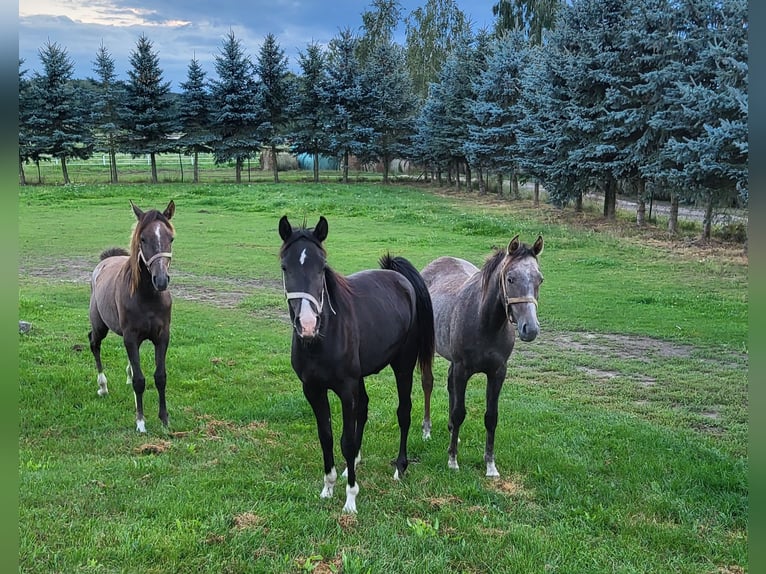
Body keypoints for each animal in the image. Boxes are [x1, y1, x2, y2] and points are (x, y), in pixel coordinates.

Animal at [88, 200, 176, 434]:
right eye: (142, 238)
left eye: (171, 238)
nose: (161, 280)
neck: (148, 297)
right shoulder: (131, 336)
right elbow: (140, 380)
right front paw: (141, 422)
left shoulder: (162, 336)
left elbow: (160, 377)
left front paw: (164, 420)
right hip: (100, 326)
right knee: (94, 343)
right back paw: (103, 387)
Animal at [280, 215, 436, 512]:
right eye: (285, 267)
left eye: (322, 267)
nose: (307, 324)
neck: (322, 339)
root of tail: (400, 278)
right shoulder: (313, 389)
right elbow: (327, 437)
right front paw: (328, 487)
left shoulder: (345, 389)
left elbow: (347, 441)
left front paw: (350, 499)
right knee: (363, 408)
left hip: (403, 366)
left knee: (404, 412)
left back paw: (400, 467)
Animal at [424, 236, 544, 480]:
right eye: (510, 279)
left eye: (540, 280)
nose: (530, 329)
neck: (484, 322)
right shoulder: (463, 370)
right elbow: (459, 412)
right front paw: (452, 460)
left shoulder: (497, 373)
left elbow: (491, 417)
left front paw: (490, 464)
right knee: (428, 384)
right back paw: (427, 430)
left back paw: (452, 432)